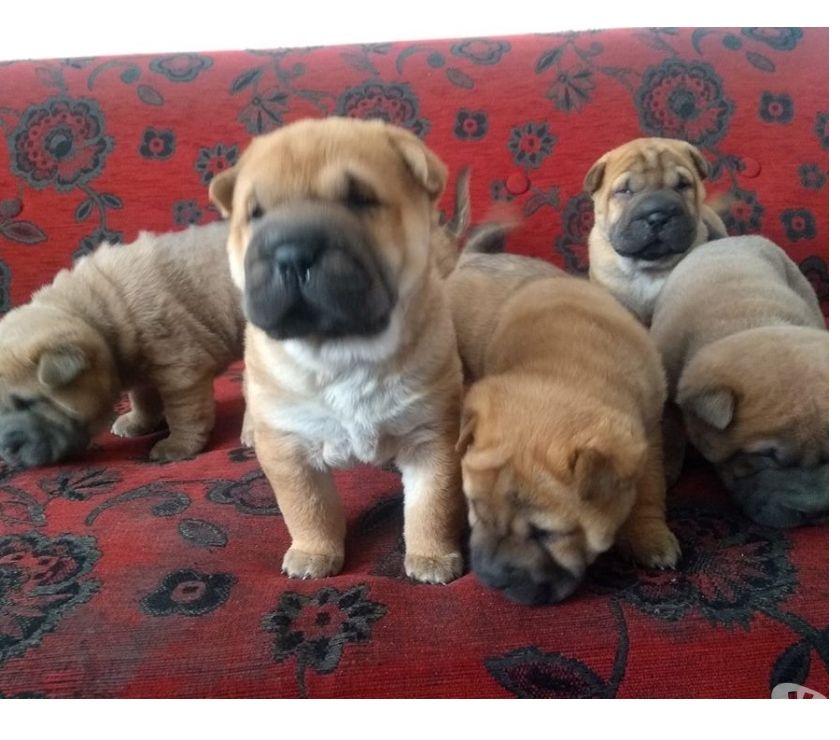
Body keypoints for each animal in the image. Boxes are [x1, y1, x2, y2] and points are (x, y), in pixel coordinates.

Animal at [0, 223, 243, 468]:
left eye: (26, 403)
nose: (7, 450)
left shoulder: (181, 369)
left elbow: (184, 412)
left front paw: (176, 446)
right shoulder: (143, 368)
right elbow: (144, 398)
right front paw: (137, 423)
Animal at [206, 117, 462, 584]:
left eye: (360, 200)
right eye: (256, 214)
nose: (291, 254)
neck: (344, 353)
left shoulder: (432, 434)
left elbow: (432, 505)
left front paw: (432, 558)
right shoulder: (289, 447)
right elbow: (309, 508)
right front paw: (313, 555)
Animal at [450, 251, 680, 604]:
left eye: (546, 534)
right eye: (475, 506)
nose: (491, 577)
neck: (572, 367)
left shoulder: (650, 432)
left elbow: (649, 489)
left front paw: (649, 535)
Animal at [648, 236, 828, 528]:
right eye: (765, 456)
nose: (815, 513)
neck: (748, 323)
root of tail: (734, 238)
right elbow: (671, 431)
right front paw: (668, 470)